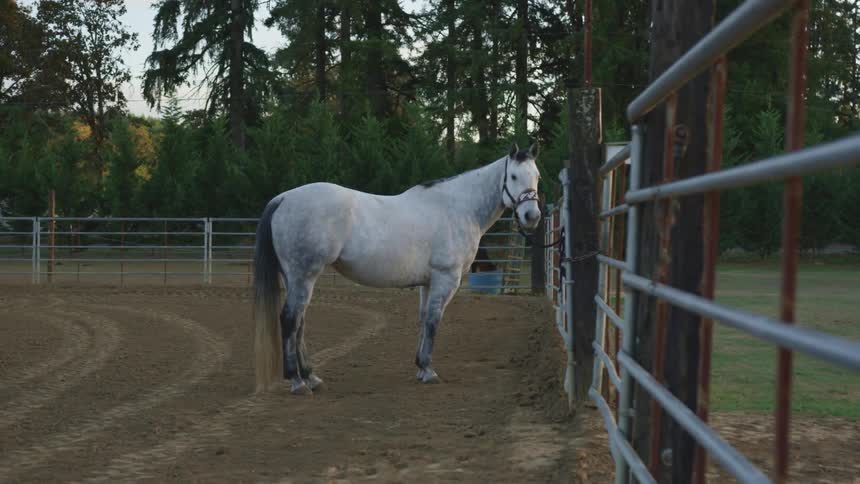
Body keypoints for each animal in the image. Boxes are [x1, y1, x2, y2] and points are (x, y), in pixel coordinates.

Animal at [253, 142, 542, 394]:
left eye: (537, 176)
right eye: (513, 176)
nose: (532, 216)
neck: (459, 208)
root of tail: (283, 198)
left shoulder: (428, 282)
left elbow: (423, 319)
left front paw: (420, 368)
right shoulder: (445, 278)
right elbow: (434, 321)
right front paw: (429, 370)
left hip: (295, 277)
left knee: (299, 322)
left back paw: (311, 377)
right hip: (304, 275)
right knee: (290, 319)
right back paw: (297, 381)